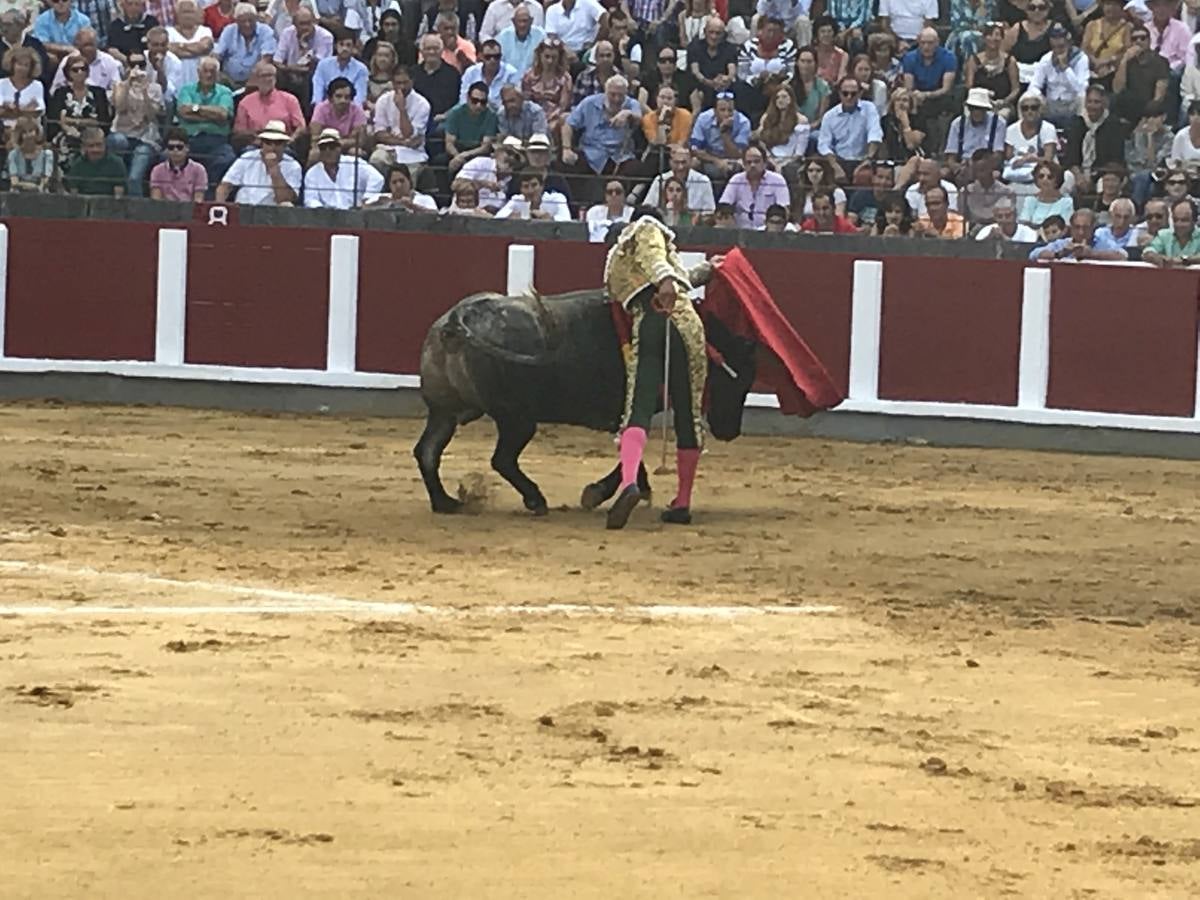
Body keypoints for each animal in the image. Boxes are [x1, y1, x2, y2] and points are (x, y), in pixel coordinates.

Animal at [410, 289, 748, 513]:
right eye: (737, 377)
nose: (729, 431)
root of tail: (457, 319)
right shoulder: (625, 411)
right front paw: (603, 493)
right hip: (517, 418)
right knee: (502, 459)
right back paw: (535, 500)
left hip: (444, 412)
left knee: (428, 451)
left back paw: (445, 502)